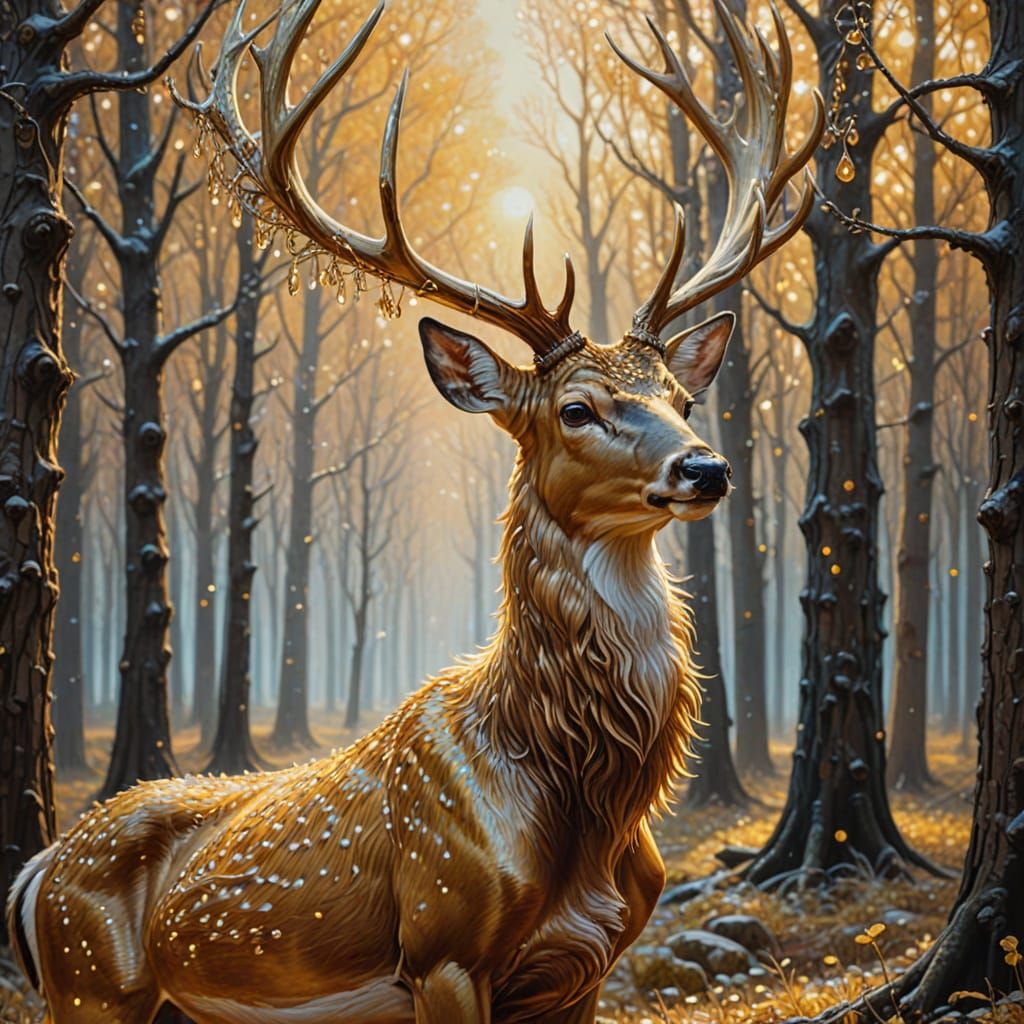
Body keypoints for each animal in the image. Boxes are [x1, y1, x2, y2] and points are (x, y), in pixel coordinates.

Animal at [7, 1, 822, 1021]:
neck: (583, 801)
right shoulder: (443, 943)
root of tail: (35, 871)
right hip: (88, 983)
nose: (706, 467)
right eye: (577, 409)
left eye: (678, 395)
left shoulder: (592, 962)